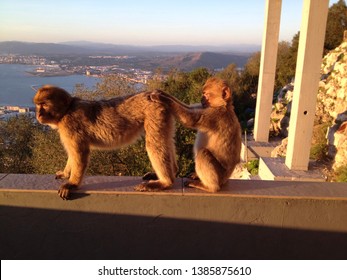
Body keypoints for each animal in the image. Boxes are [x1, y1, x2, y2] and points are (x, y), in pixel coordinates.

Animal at [33, 85, 178, 199]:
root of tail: (151, 94)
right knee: (165, 140)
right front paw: (65, 174)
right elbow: (73, 154)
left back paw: (166, 182)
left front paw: (72, 184)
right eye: (38, 105)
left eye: (44, 104)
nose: (38, 114)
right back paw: (173, 172)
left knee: (154, 144)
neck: (67, 110)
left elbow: (80, 154)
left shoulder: (70, 126)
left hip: (155, 113)